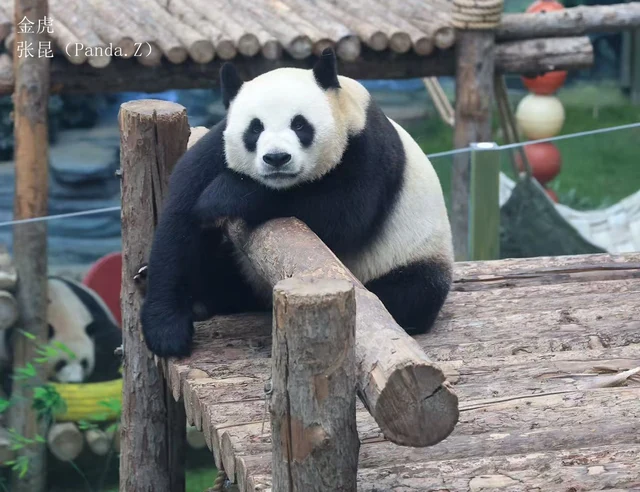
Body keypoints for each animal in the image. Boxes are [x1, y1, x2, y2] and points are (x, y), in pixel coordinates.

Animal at [140, 48, 453, 358]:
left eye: (299, 124)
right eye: (255, 128)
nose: (277, 158)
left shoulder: (367, 149)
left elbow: (342, 216)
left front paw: (221, 196)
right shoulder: (215, 149)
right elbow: (179, 222)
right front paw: (166, 330)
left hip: (413, 252)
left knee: (413, 290)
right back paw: (201, 299)